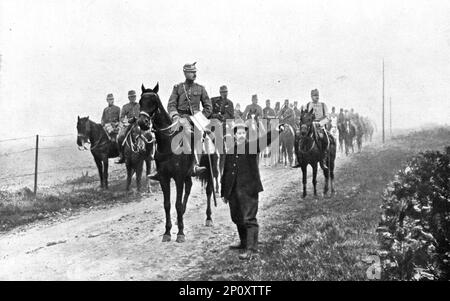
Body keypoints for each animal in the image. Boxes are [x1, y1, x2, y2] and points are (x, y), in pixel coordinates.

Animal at [136, 82, 215, 241]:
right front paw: (167, 232)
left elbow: (177, 204)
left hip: (210, 169)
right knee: (189, 187)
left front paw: (180, 233)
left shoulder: (178, 177)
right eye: (140, 102)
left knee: (209, 190)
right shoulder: (164, 178)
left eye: (154, 102)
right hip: (188, 174)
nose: (142, 123)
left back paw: (208, 218)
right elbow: (167, 204)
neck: (168, 142)